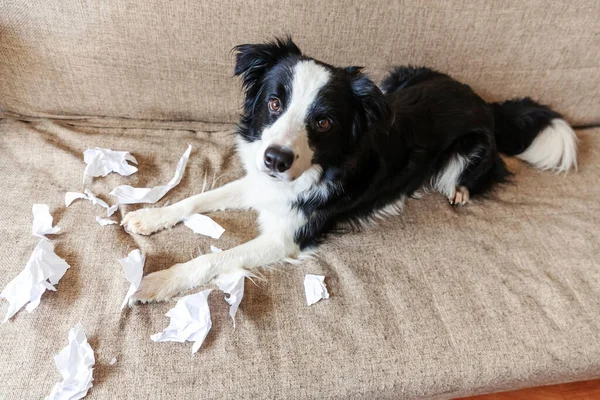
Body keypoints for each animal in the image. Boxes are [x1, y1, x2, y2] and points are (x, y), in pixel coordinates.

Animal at [122, 37, 576, 304]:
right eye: (274, 103)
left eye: (323, 122)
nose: (275, 159)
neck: (321, 165)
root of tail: (486, 103)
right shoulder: (262, 183)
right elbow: (199, 198)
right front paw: (149, 216)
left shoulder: (288, 237)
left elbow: (215, 259)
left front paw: (156, 282)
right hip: (399, 77)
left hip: (468, 150)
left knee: (481, 169)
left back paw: (461, 191)